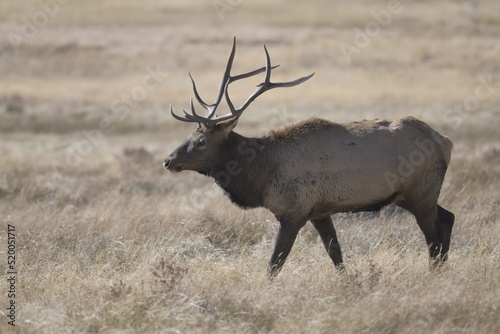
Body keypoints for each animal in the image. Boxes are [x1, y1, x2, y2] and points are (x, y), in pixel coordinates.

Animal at [164, 37, 454, 276]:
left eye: (201, 141)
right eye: (189, 136)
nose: (168, 160)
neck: (262, 174)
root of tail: (445, 141)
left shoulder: (294, 210)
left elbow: (275, 262)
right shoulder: (319, 211)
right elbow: (335, 254)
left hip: (421, 190)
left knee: (434, 235)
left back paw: (433, 274)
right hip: (408, 195)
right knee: (448, 218)